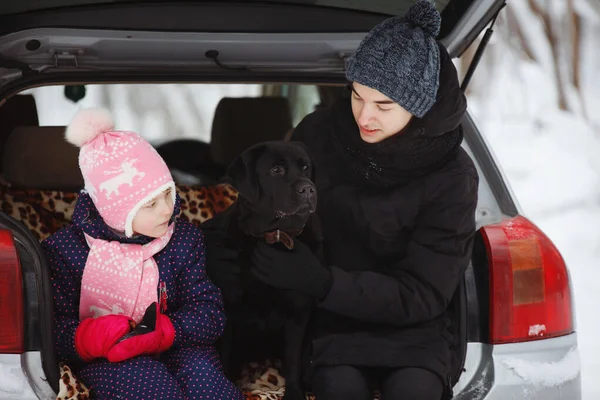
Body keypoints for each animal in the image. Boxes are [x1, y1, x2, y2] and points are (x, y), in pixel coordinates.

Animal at [202, 141, 322, 400]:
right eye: (276, 170)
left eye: (306, 167)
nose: (308, 190)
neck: (272, 238)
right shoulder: (229, 309)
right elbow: (224, 354)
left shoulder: (299, 312)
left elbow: (293, 359)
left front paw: (294, 393)